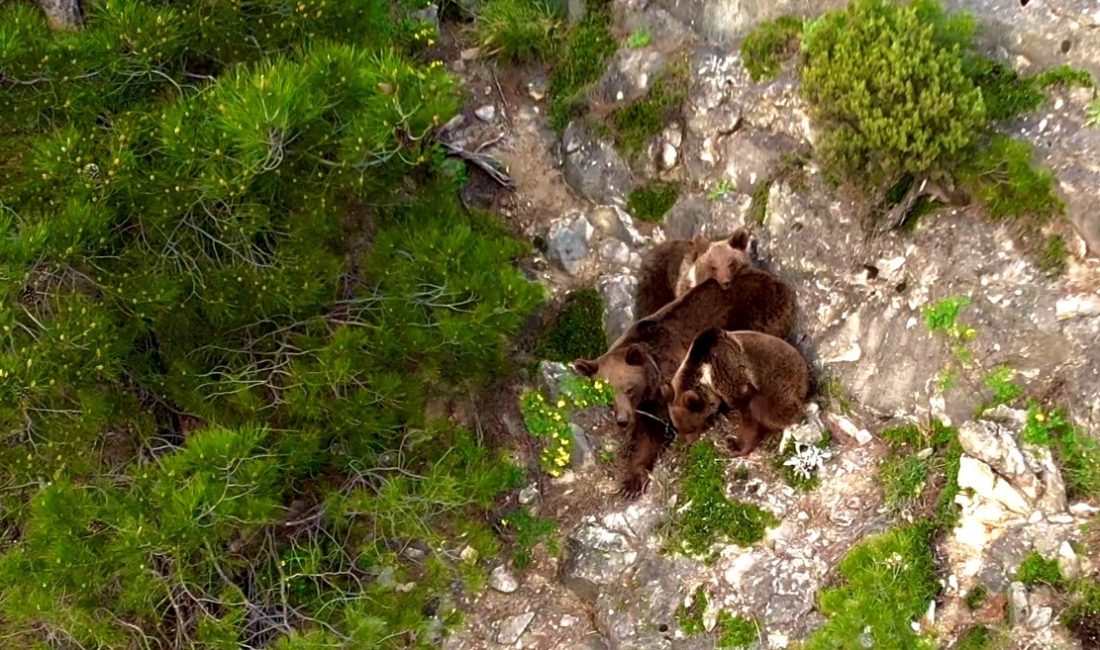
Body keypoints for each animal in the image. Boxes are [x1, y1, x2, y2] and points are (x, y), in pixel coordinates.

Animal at [660, 327, 809, 455]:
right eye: (678, 428)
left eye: (690, 428)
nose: (688, 443)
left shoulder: (727, 371)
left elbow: (747, 410)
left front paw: (735, 444)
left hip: (781, 384)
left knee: (770, 409)